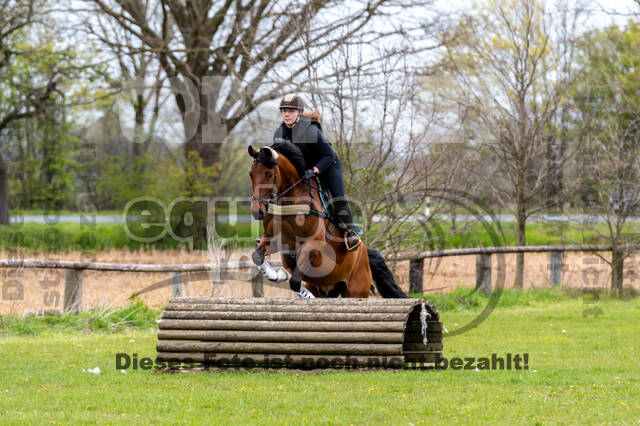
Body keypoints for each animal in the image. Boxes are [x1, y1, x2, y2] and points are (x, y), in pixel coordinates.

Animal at [248, 141, 408, 298]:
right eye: (251, 174)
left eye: (269, 174)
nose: (257, 212)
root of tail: (366, 255)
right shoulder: (275, 239)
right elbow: (257, 256)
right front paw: (278, 275)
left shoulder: (313, 245)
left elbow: (294, 282)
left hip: (356, 289)